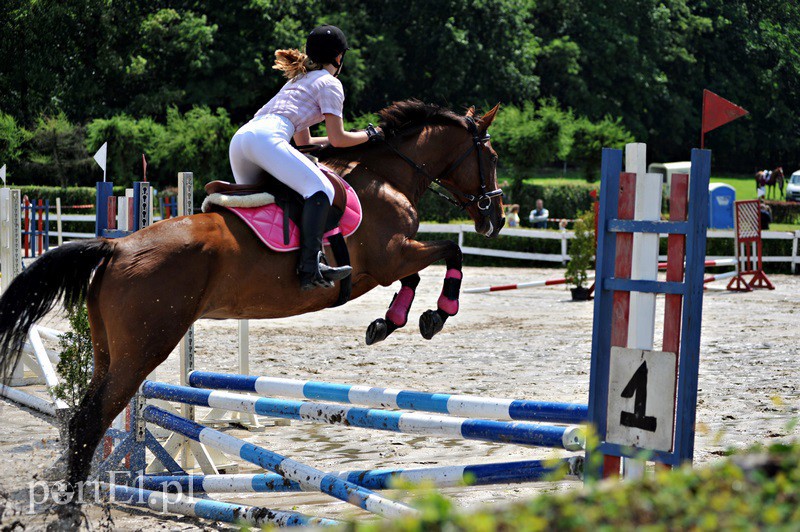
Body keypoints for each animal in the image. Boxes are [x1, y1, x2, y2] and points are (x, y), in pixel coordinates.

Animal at [0, 101, 506, 490]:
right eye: (493, 155)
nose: (496, 219)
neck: (388, 176)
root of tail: (118, 247)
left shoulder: (388, 263)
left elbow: (418, 276)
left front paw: (388, 322)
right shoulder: (391, 255)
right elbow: (451, 251)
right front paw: (437, 314)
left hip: (109, 348)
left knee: (82, 418)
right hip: (144, 346)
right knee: (92, 418)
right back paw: (75, 501)